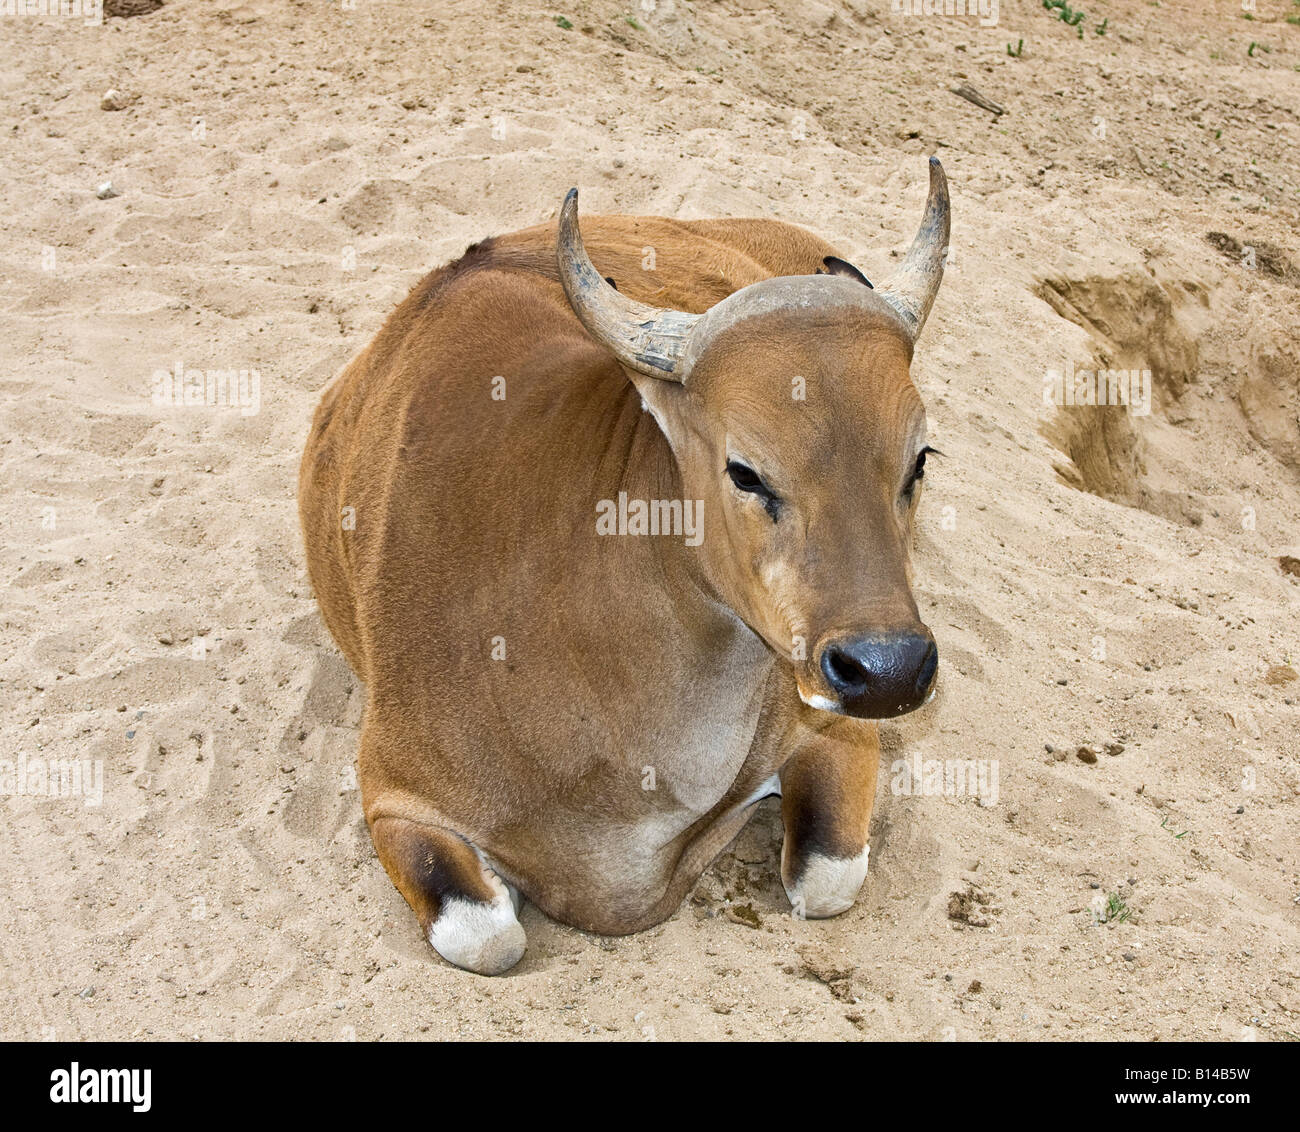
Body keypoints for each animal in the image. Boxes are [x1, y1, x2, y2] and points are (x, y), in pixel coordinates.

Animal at [299, 158, 950, 974]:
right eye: (746, 471)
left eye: (920, 458)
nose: (889, 669)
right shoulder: (392, 792)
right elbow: (486, 935)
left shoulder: (834, 732)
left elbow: (828, 877)